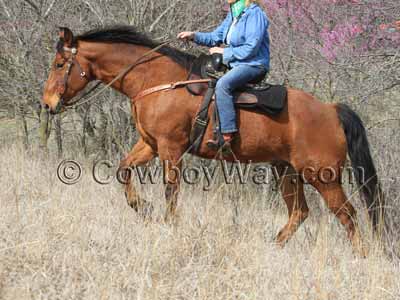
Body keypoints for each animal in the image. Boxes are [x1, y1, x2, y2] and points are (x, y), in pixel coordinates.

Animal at [41, 25, 384, 253]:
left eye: (59, 64)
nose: (47, 104)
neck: (158, 81)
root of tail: (330, 110)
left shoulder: (170, 149)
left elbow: (171, 192)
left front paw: (169, 224)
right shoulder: (149, 145)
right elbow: (123, 170)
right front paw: (144, 208)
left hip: (322, 176)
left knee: (348, 215)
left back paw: (360, 257)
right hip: (286, 171)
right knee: (299, 212)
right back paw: (272, 247)